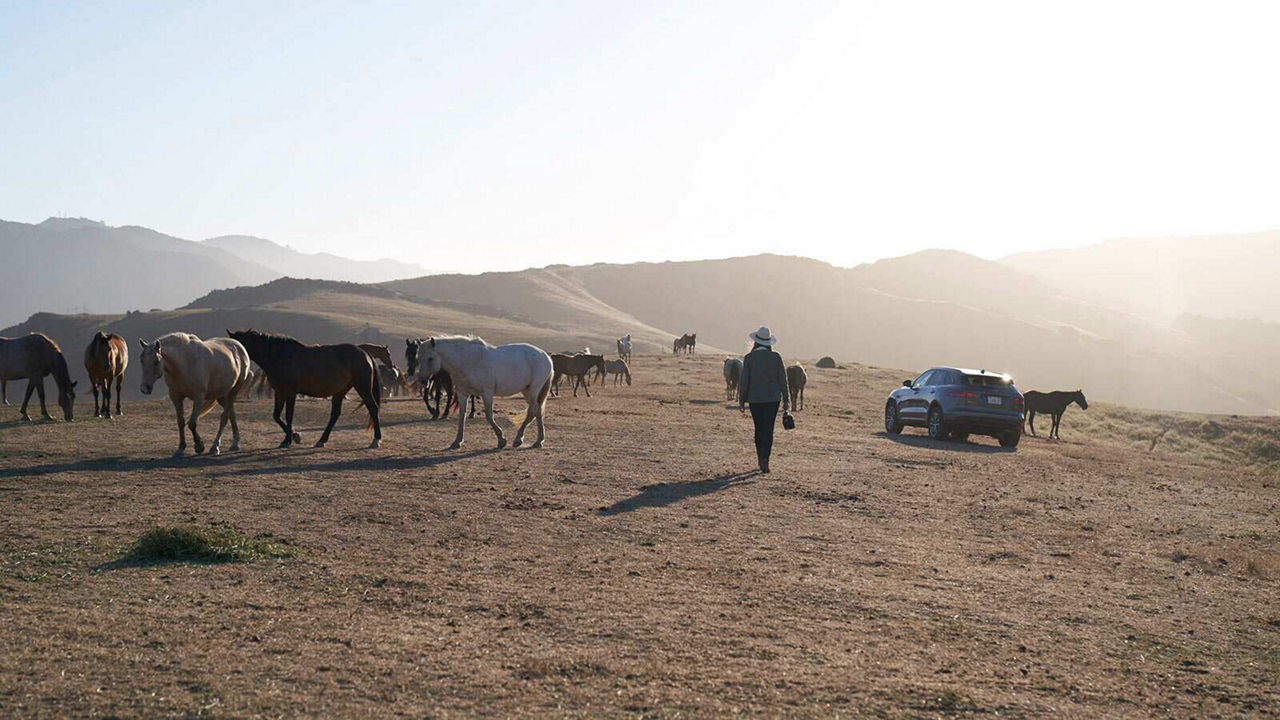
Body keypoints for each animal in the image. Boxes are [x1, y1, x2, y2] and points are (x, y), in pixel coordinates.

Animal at [230, 327, 381, 445]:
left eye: (240, 345)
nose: (236, 363)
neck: (281, 357)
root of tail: (364, 353)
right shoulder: (279, 392)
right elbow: (276, 416)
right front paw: (294, 436)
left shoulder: (290, 392)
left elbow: (288, 415)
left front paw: (288, 440)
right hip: (340, 391)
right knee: (335, 414)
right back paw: (322, 440)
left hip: (363, 388)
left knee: (373, 408)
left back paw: (376, 439)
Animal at [409, 333, 550, 445]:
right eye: (418, 358)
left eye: (430, 358)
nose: (422, 380)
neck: (468, 360)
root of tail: (546, 356)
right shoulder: (463, 393)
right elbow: (462, 415)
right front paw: (457, 441)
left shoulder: (487, 393)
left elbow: (489, 416)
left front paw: (501, 439)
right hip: (527, 390)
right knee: (537, 410)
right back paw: (539, 440)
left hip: (533, 390)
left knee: (532, 411)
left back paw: (519, 438)